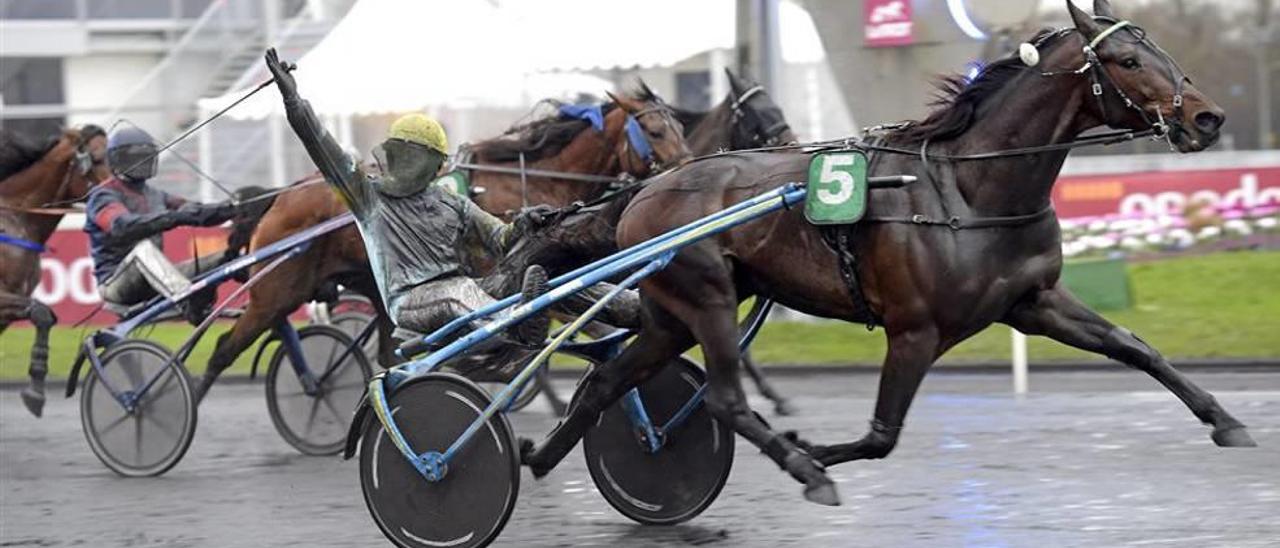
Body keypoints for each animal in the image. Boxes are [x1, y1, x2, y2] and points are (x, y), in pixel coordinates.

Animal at [197, 88, 691, 402]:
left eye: (680, 127)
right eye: (655, 132)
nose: (687, 169)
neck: (528, 177)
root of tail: (278, 198)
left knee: (385, 347)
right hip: (278, 292)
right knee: (222, 350)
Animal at [522, 0, 1259, 504]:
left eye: (1159, 48)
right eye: (1127, 61)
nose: (1207, 118)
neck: (971, 189)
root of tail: (644, 190)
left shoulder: (1034, 301)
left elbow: (1137, 348)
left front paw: (1226, 421)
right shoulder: (916, 329)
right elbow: (882, 434)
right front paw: (813, 452)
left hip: (670, 314)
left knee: (607, 382)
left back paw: (539, 457)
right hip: (706, 298)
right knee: (723, 400)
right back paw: (802, 468)